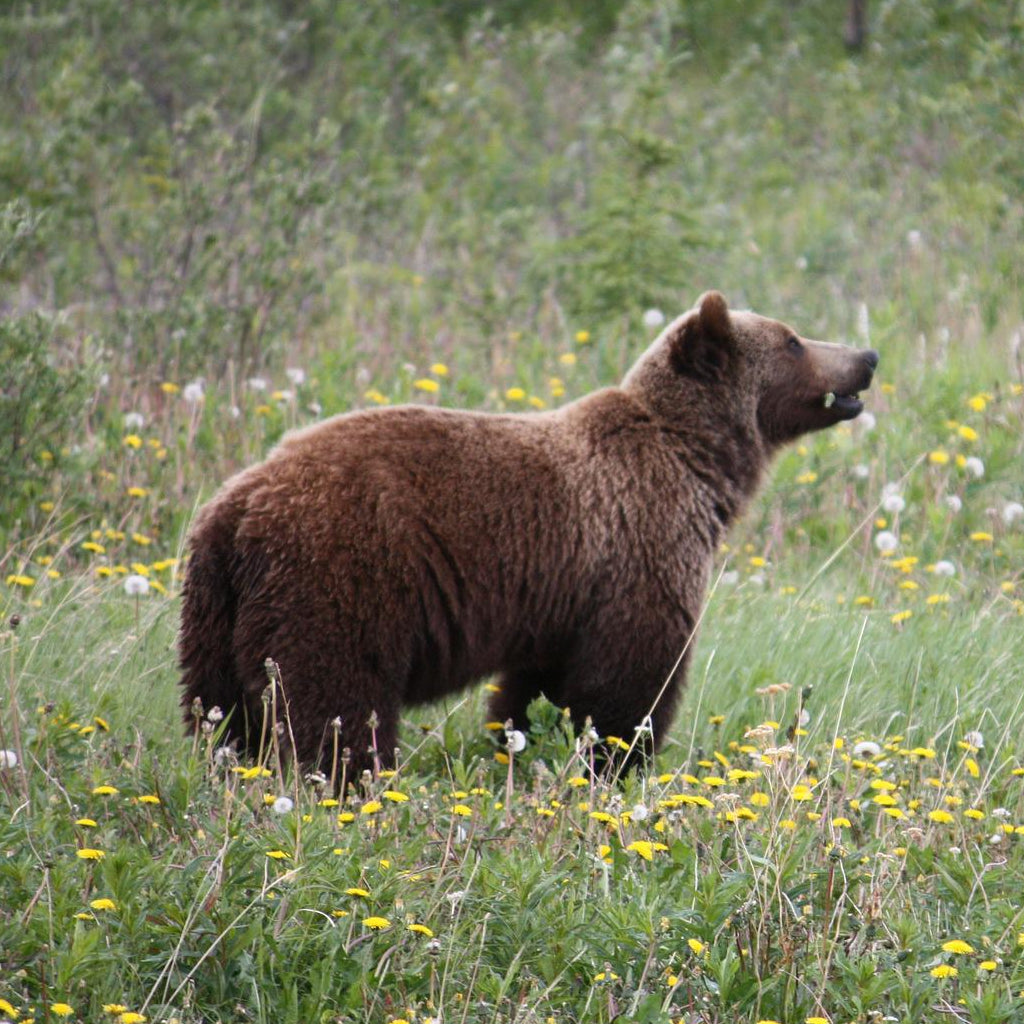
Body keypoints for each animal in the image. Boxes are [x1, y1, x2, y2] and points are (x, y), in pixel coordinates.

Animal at [179, 292, 877, 781]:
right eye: (792, 341)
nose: (866, 358)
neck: (698, 465)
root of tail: (238, 506)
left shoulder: (562, 594)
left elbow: (535, 688)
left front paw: (520, 746)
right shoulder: (640, 546)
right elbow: (627, 681)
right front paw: (615, 762)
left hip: (216, 610)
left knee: (219, 712)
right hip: (340, 576)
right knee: (335, 701)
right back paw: (349, 780)